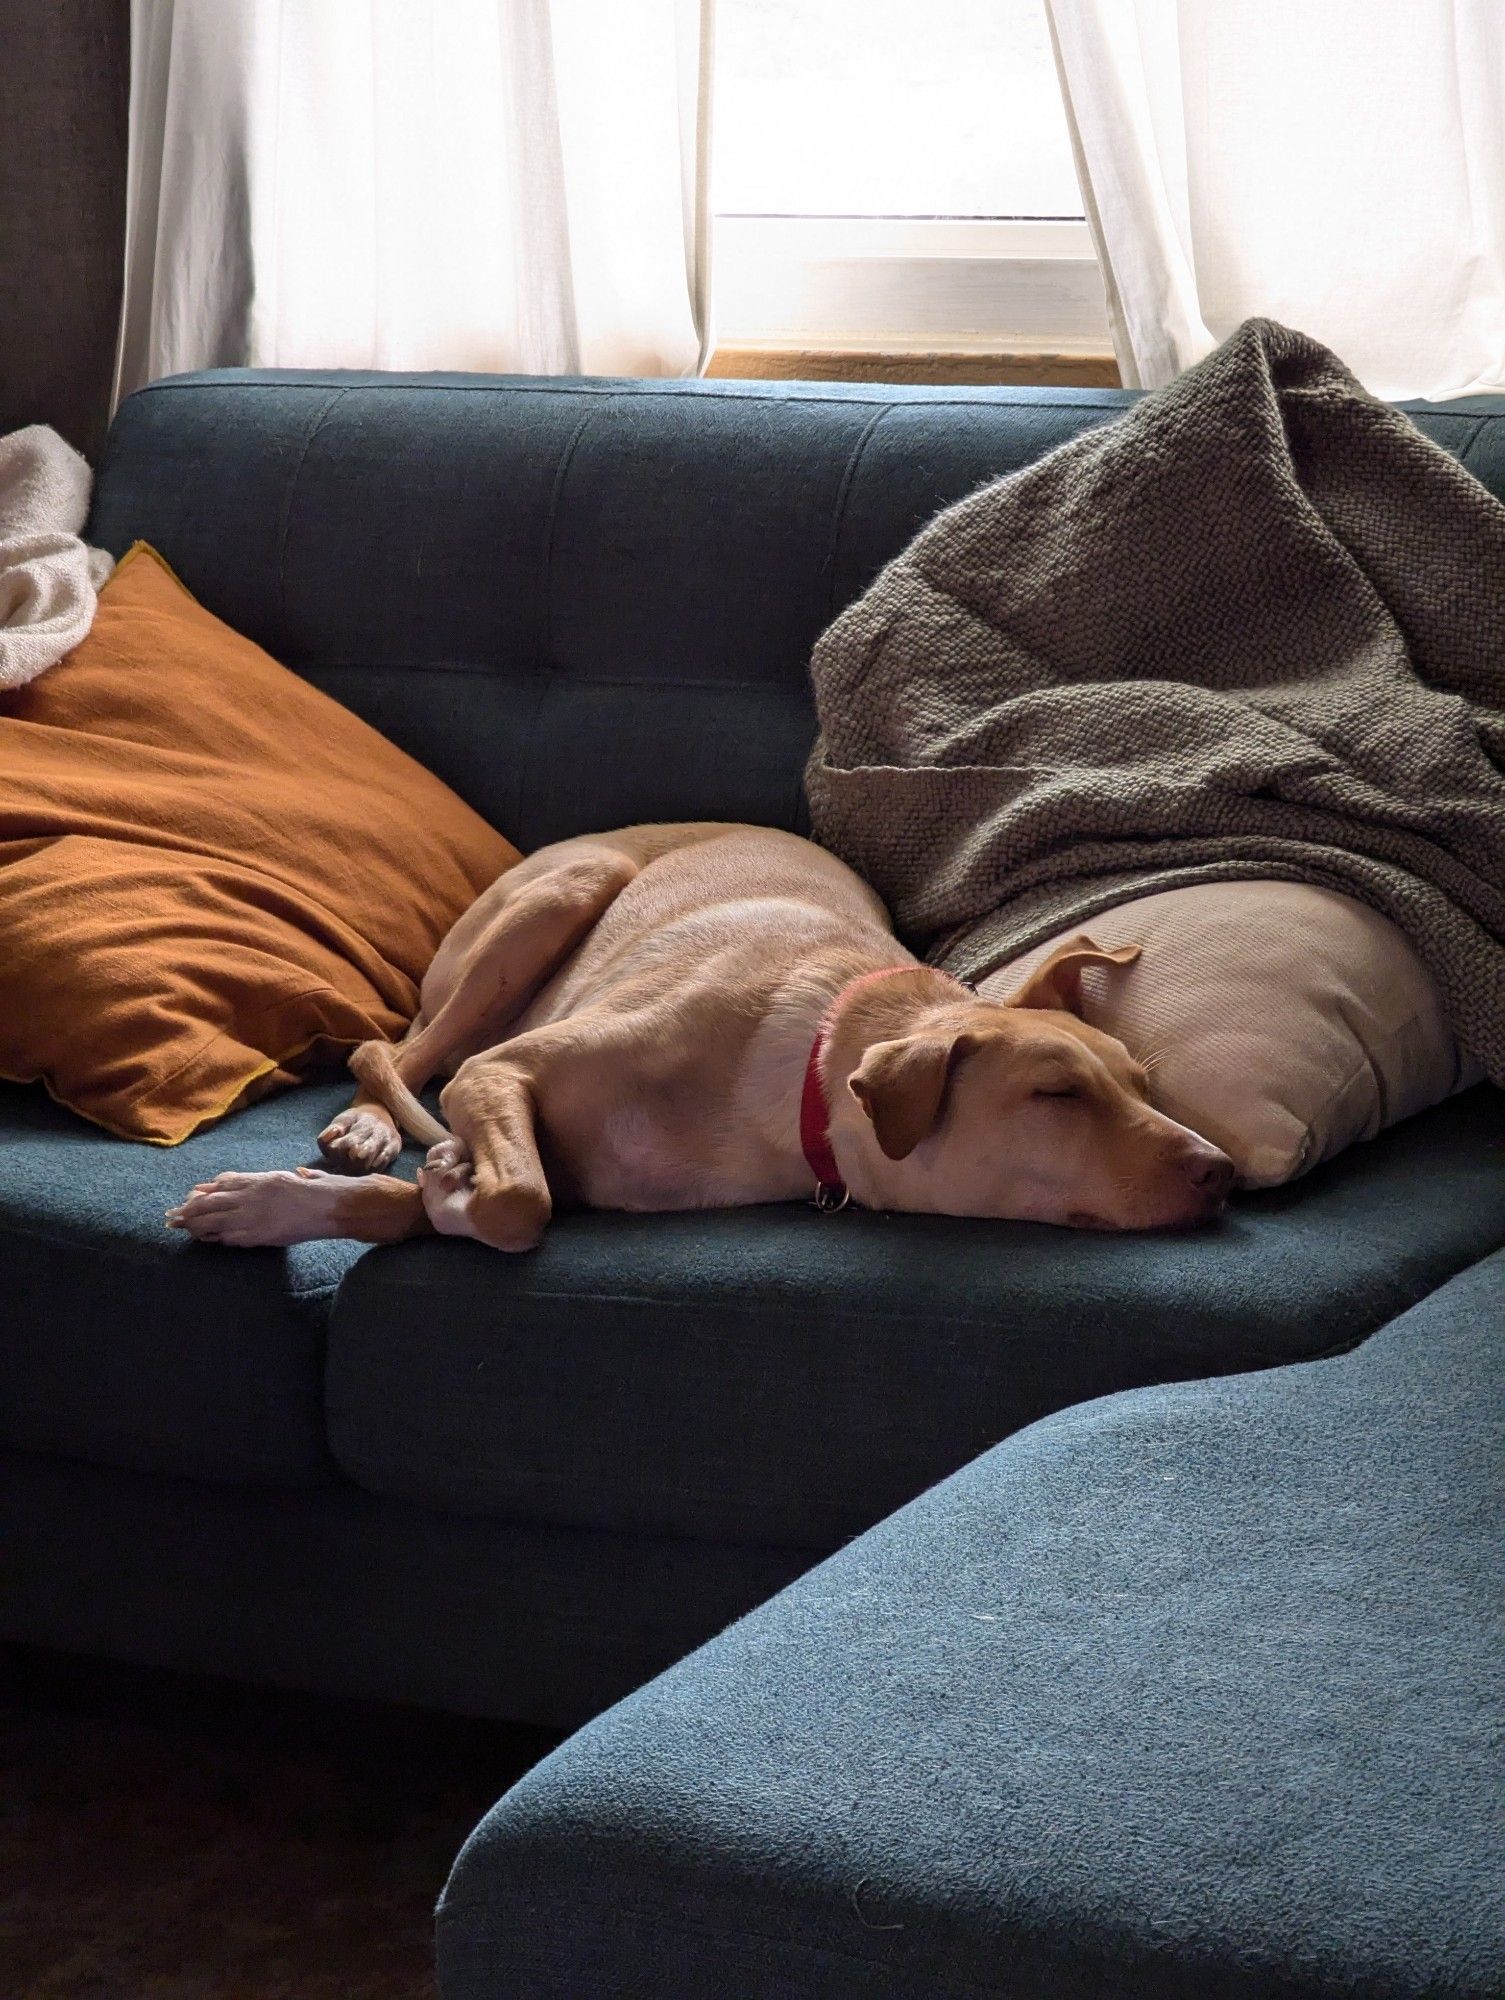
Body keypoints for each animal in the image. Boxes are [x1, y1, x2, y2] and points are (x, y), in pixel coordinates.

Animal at [164, 820, 1224, 1240]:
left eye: (1143, 1084)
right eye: (1056, 1095)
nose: (1218, 1173)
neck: (806, 1066)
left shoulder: (574, 1175)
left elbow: (476, 1204)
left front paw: (271, 1207)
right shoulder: (496, 1076)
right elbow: (515, 1205)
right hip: (559, 896)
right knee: (396, 1051)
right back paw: (370, 1123)